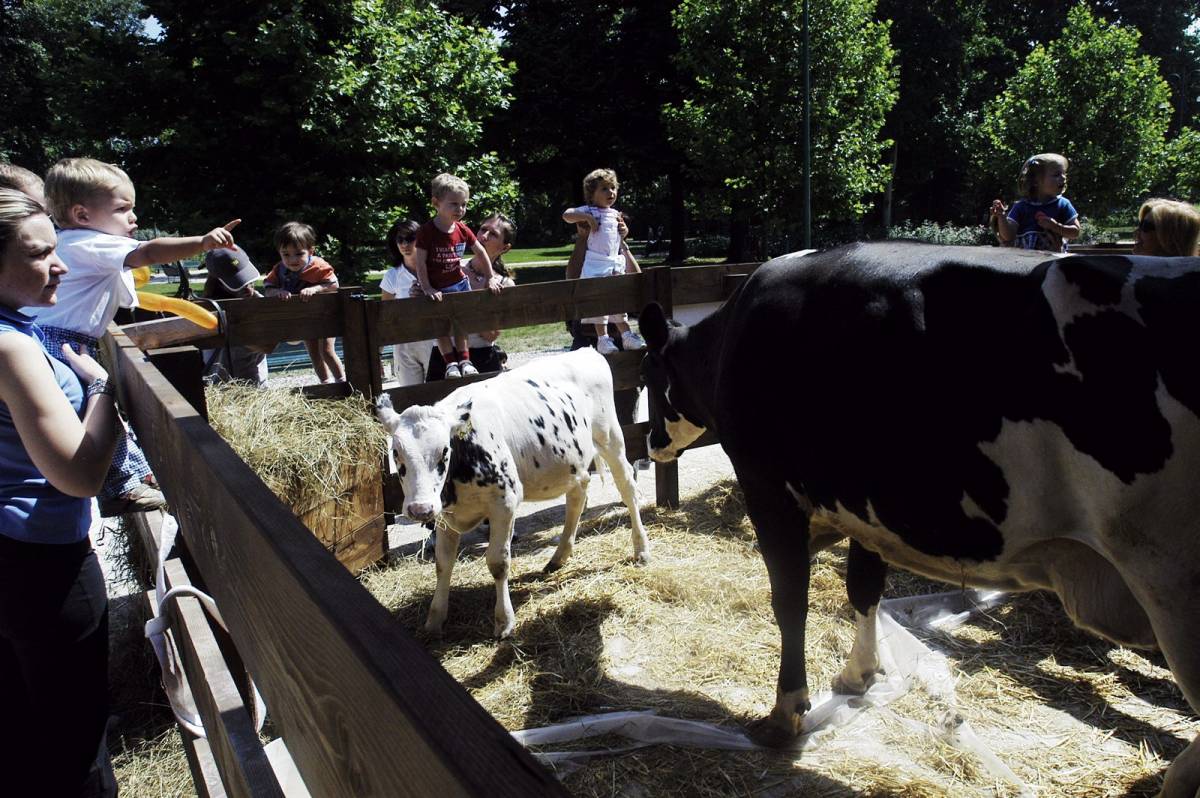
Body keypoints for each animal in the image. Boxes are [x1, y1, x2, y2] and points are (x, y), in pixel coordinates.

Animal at [379, 348, 652, 633]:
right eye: (395, 453)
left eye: (444, 451)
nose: (420, 509)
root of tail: (585, 351)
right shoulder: (445, 514)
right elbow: (443, 563)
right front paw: (435, 618)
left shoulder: (504, 502)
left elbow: (497, 562)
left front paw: (504, 621)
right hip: (572, 461)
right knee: (577, 495)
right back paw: (559, 557)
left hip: (610, 437)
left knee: (627, 489)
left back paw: (641, 549)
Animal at [643, 242, 1200, 796]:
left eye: (650, 375)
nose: (650, 443)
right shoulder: (861, 506)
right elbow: (863, 589)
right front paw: (860, 675)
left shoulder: (769, 490)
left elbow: (790, 602)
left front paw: (785, 717)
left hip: (1171, 586)